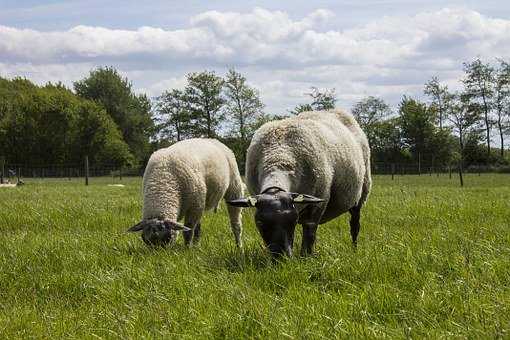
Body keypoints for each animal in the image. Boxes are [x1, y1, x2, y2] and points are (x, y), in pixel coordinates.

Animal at [227, 110, 370, 256]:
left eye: (293, 221)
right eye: (260, 223)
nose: (281, 257)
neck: (278, 156)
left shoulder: (318, 203)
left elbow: (309, 234)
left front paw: (306, 256)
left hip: (361, 193)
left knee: (354, 225)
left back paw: (354, 249)